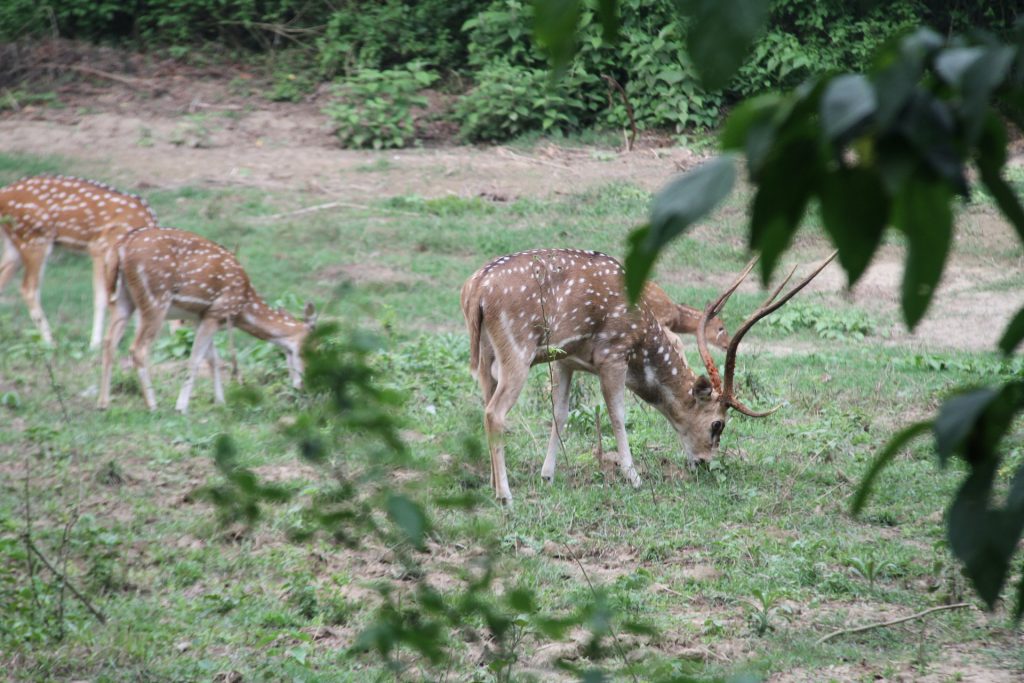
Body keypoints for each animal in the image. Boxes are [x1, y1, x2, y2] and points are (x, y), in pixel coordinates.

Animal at [0, 174, 158, 350]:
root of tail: (3, 194)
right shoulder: (100, 248)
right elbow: (102, 298)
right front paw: (95, 344)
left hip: (14, 245)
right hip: (34, 238)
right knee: (28, 289)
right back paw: (50, 342)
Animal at [100, 227, 315, 413]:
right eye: (308, 350)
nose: (303, 386)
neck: (243, 307)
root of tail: (123, 246)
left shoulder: (202, 317)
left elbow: (213, 359)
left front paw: (220, 402)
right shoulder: (217, 312)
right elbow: (196, 358)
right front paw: (181, 407)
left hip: (123, 298)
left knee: (109, 341)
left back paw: (104, 403)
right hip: (156, 298)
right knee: (138, 349)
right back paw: (152, 405)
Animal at [460, 248, 835, 505]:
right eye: (718, 424)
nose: (703, 462)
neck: (643, 336)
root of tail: (475, 289)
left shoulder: (566, 360)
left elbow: (560, 413)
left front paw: (547, 475)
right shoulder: (613, 354)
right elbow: (617, 415)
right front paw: (634, 476)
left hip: (485, 356)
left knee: (485, 403)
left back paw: (493, 484)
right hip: (517, 350)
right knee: (494, 412)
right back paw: (505, 495)